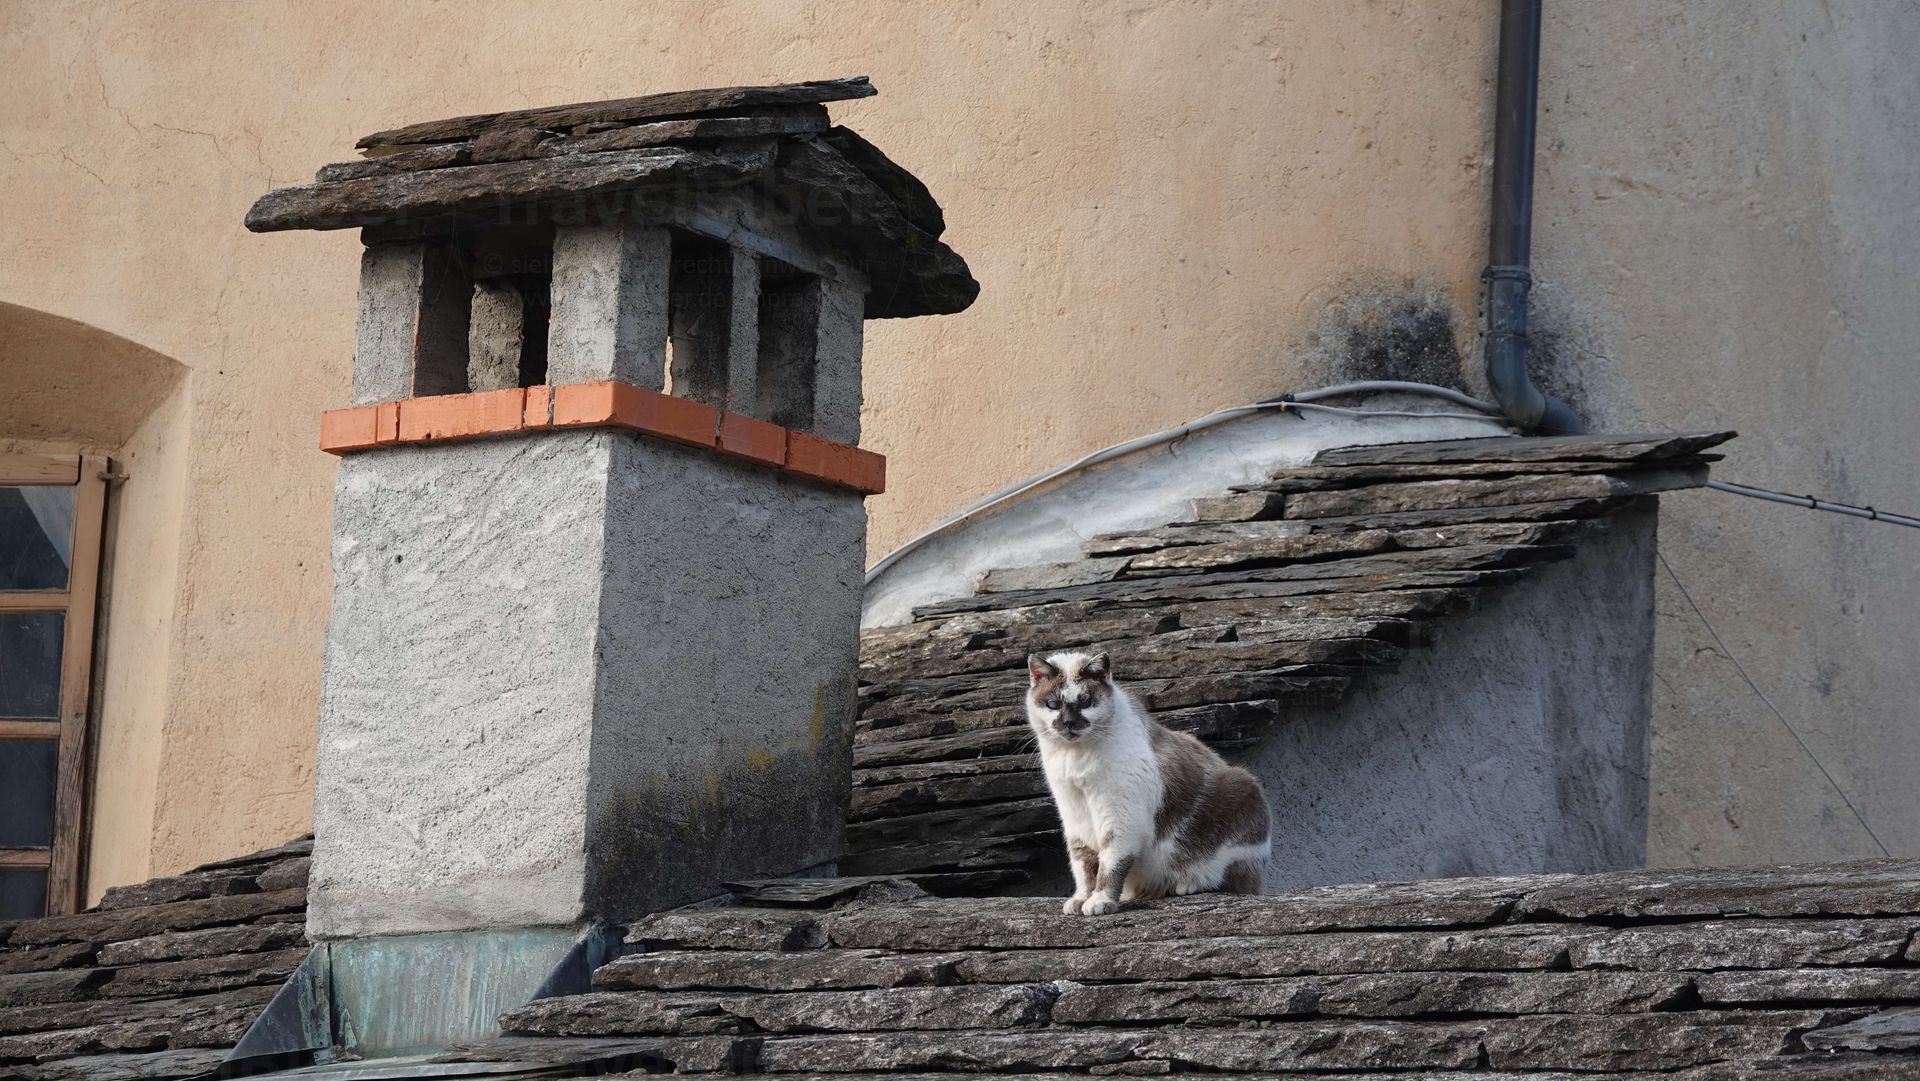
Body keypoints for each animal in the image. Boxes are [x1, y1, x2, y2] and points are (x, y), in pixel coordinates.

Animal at [1026, 650, 1272, 915]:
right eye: (1053, 704)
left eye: (1085, 702)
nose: (1069, 723)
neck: (1074, 759)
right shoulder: (1074, 817)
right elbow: (1083, 866)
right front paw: (1081, 899)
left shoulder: (1121, 819)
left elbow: (1110, 865)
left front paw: (1100, 901)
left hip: (1244, 789)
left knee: (1230, 882)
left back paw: (1187, 884)